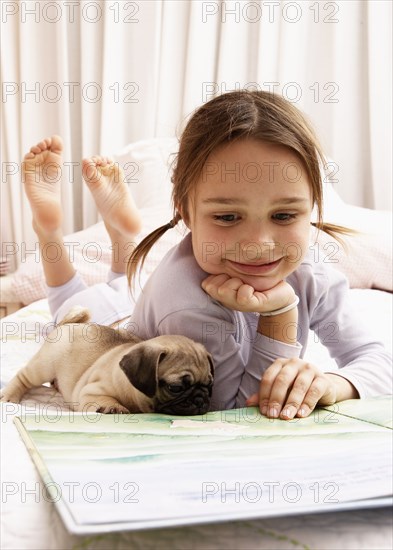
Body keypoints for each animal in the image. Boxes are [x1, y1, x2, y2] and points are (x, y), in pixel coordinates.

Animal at [0, 308, 214, 416]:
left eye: (210, 386)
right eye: (175, 388)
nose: (200, 399)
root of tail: (69, 324)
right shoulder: (91, 391)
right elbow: (104, 399)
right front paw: (113, 407)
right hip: (44, 365)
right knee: (23, 377)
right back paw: (9, 396)